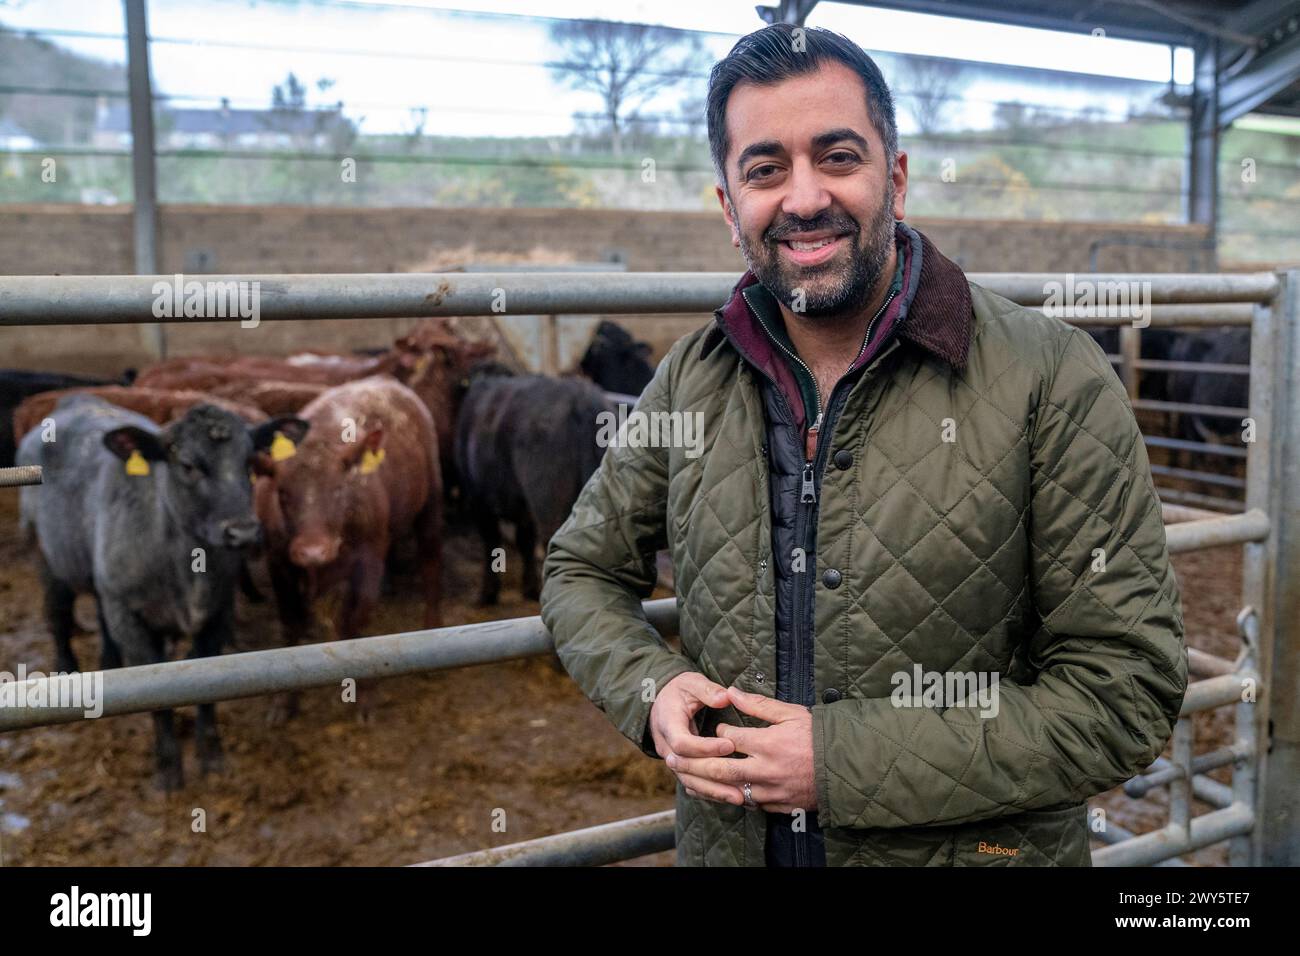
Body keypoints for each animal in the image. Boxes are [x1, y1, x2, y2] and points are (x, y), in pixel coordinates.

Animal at [18, 395, 306, 790]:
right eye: (187, 465)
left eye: (249, 461)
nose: (244, 531)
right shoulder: (132, 620)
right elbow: (153, 694)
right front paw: (169, 769)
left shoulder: (218, 614)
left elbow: (206, 689)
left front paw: (212, 756)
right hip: (46, 557)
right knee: (58, 617)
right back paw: (66, 673)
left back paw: (108, 665)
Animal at [250, 374, 444, 717]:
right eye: (282, 492)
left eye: (340, 488)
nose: (313, 551)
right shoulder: (278, 563)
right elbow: (290, 623)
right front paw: (284, 701)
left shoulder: (370, 558)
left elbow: (355, 621)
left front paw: (364, 695)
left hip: (431, 502)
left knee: (431, 564)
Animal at [457, 369, 608, 606]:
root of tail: (580, 398)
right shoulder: (522, 507)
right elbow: (525, 541)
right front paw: (529, 587)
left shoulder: (479, 501)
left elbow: (492, 541)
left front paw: (488, 593)